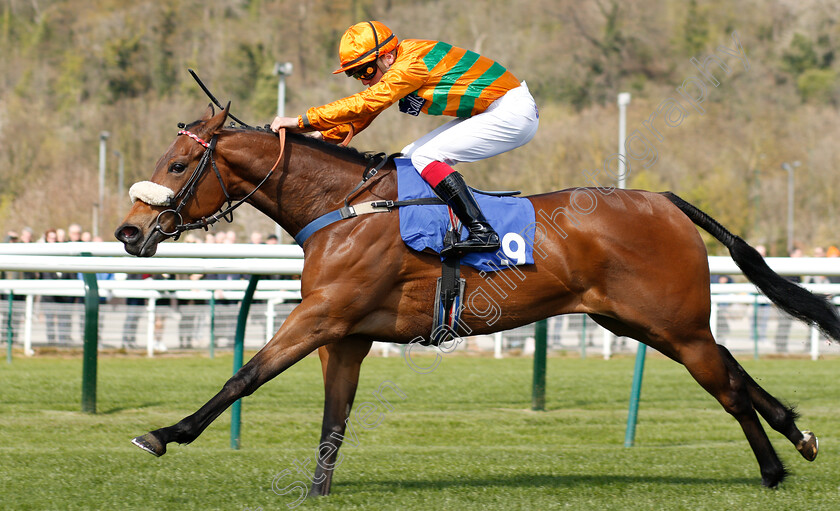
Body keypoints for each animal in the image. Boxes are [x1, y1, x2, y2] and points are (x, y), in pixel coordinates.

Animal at [115, 106, 836, 494]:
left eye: (177, 166)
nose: (127, 232)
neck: (342, 207)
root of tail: (664, 199)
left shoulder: (320, 315)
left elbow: (245, 375)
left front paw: (164, 433)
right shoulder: (346, 334)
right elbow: (334, 416)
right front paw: (317, 488)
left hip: (672, 323)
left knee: (728, 387)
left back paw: (772, 468)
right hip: (642, 322)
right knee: (732, 367)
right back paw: (796, 434)